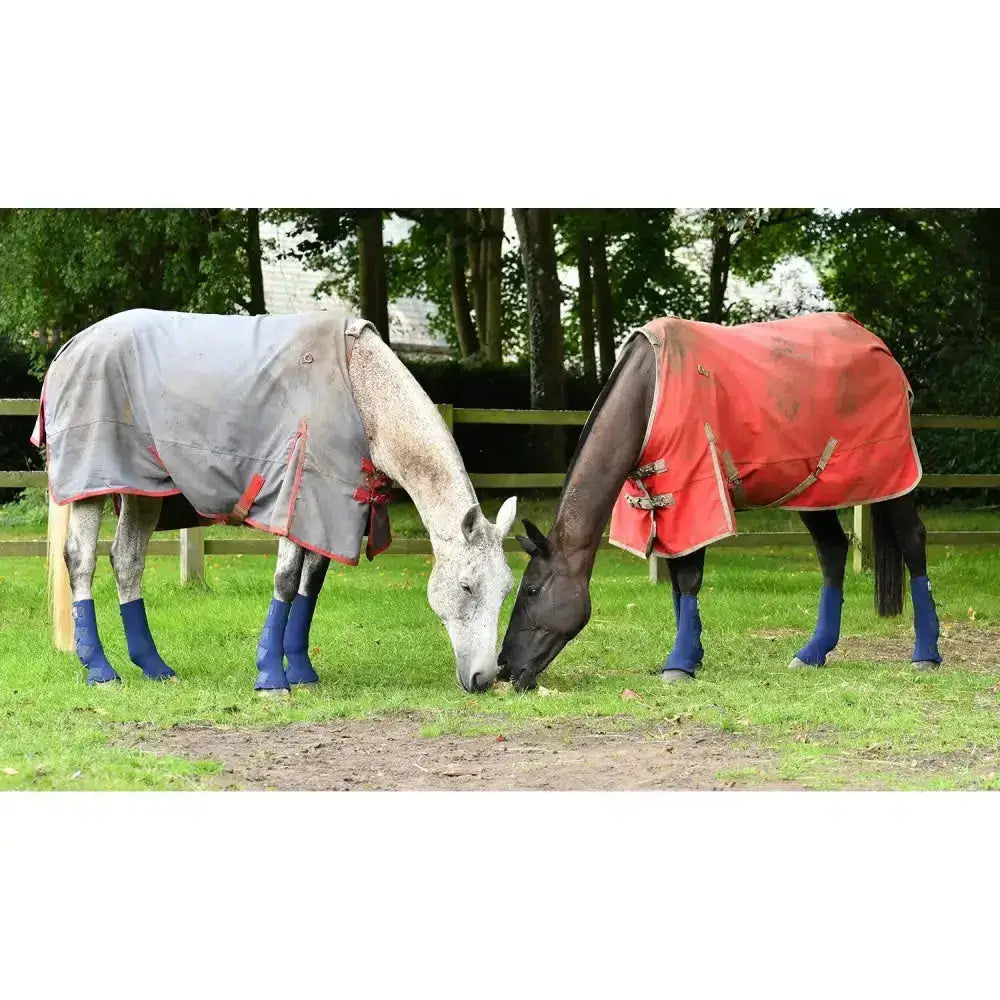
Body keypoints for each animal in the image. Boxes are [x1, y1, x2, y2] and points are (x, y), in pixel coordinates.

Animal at [34, 308, 517, 695]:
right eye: (467, 587)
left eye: (506, 589)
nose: (484, 679)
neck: (361, 389)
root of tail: (69, 348)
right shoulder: (297, 496)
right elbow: (286, 581)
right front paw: (270, 677)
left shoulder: (332, 508)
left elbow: (310, 585)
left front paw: (301, 673)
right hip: (92, 483)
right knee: (81, 560)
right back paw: (99, 670)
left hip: (143, 490)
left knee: (126, 561)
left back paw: (154, 667)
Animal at [498, 313, 941, 692]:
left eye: (532, 590)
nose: (505, 668)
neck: (649, 392)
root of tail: (878, 347)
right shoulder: (668, 505)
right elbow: (677, 584)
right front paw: (689, 656)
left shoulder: (694, 494)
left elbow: (689, 579)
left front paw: (679, 664)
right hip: (813, 491)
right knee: (832, 550)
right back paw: (812, 653)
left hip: (891, 476)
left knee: (912, 540)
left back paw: (926, 654)